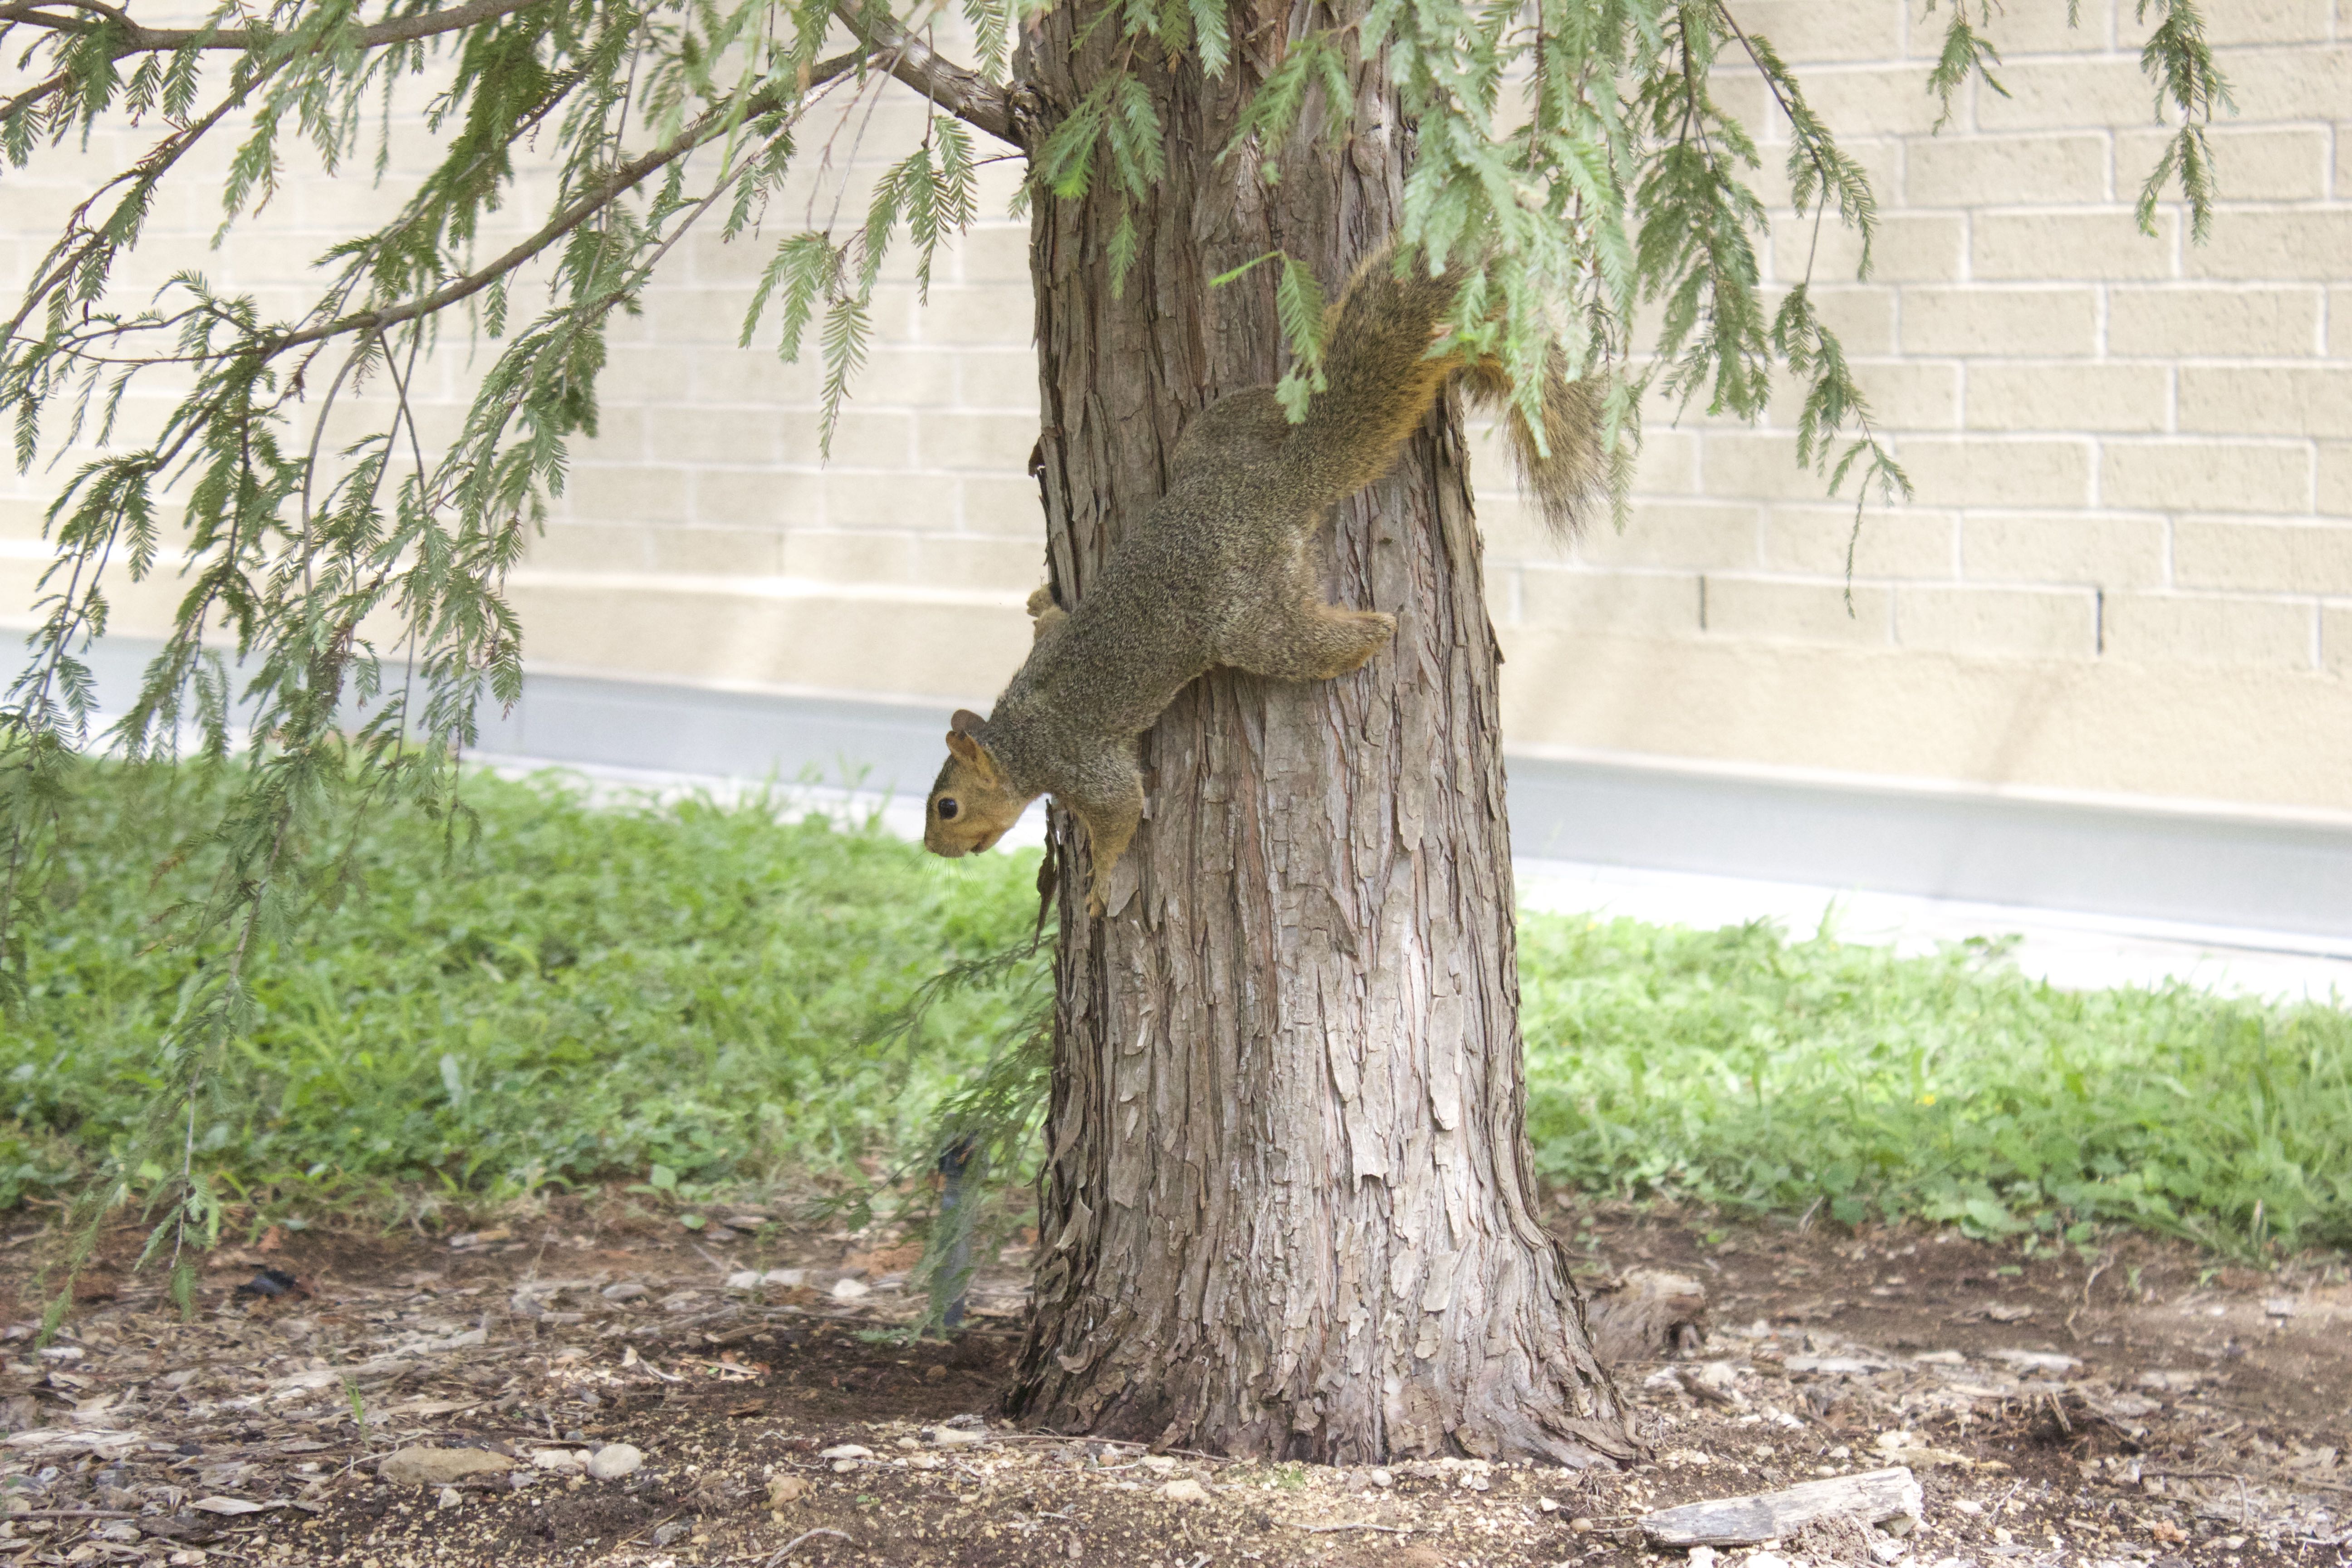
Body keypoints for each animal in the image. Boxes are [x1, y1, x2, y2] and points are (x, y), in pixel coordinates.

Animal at [922, 242, 1610, 915]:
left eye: (946, 808)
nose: (932, 849)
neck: (1016, 735)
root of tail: (1278, 489)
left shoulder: (1080, 762)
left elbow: (1121, 811)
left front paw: (1098, 882)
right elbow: (1054, 625)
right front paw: (1041, 600)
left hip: (1252, 616)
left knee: (1304, 641)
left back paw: (1375, 631)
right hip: (1213, 442)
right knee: (1258, 414)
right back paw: (1290, 399)